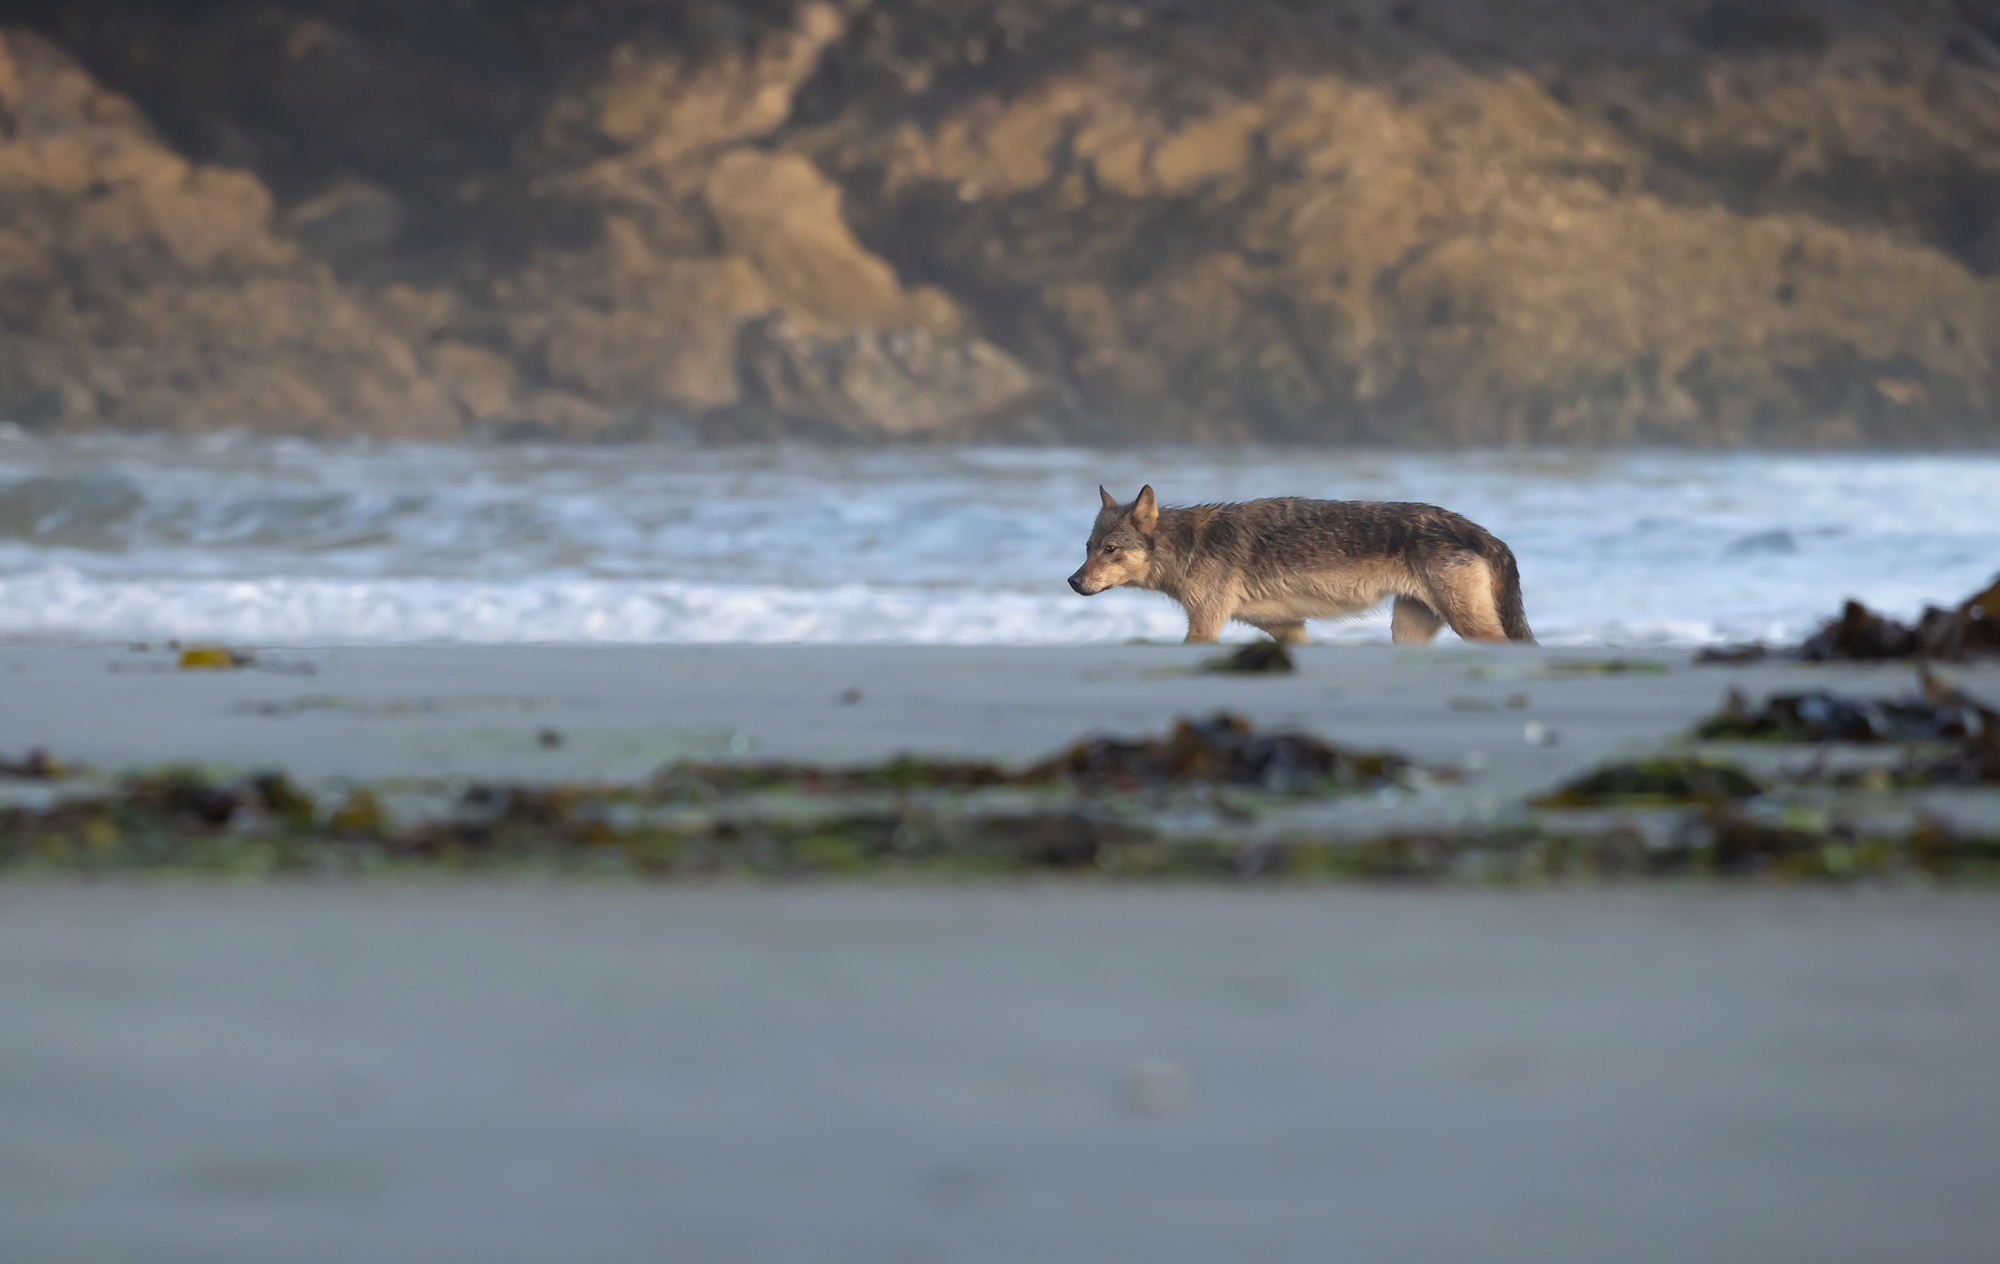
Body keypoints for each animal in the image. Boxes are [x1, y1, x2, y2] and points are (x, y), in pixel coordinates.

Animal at [1072, 482, 1536, 648]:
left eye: (1110, 550)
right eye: (1089, 547)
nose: (1073, 581)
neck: (1188, 544)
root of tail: (1475, 528)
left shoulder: (1204, 626)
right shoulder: (1289, 628)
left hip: (1470, 626)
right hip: (1407, 634)